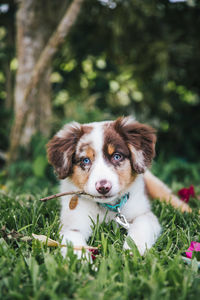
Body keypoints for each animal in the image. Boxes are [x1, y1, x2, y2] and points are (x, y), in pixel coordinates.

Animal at [47, 116, 191, 256]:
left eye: (117, 156)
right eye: (85, 160)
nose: (103, 187)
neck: (108, 207)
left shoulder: (144, 213)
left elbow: (142, 225)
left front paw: (134, 248)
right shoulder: (72, 222)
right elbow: (72, 240)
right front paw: (79, 258)